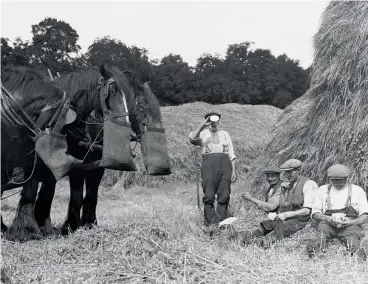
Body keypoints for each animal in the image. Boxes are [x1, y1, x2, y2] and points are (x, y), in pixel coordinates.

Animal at [32, 64, 170, 235]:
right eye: (143, 104)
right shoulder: (76, 166)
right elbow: (77, 195)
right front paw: (71, 225)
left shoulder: (97, 165)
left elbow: (92, 194)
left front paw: (90, 223)